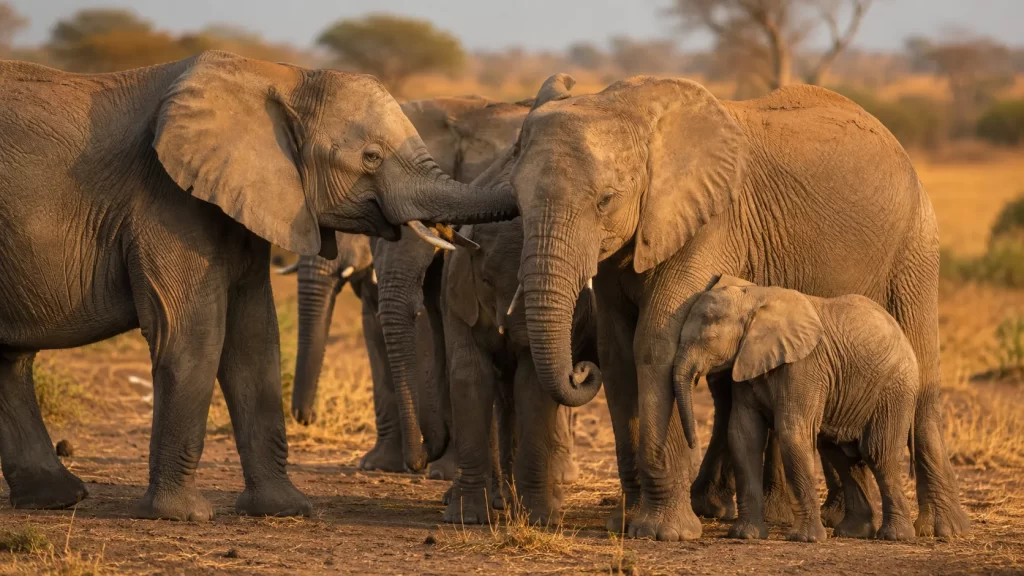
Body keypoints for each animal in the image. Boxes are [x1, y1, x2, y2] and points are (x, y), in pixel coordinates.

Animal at [0, 50, 515, 521]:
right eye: (370, 157)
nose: (421, 459)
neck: (280, 76)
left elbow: (255, 338)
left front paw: (285, 510)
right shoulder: (166, 201)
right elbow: (193, 334)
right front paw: (184, 516)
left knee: (12, 361)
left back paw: (58, 498)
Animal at [441, 217, 592, 524]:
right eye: (486, 281)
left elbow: (531, 384)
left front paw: (541, 519)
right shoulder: (458, 299)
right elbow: (470, 376)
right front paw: (467, 517)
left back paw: (536, 499)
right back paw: (499, 499)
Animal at [673, 275, 918, 542]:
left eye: (707, 339)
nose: (692, 443)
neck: (754, 299)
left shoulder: (804, 366)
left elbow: (793, 434)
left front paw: (806, 539)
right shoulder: (746, 364)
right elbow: (743, 436)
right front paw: (745, 535)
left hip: (894, 390)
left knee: (878, 454)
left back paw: (895, 536)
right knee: (841, 455)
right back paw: (854, 532)